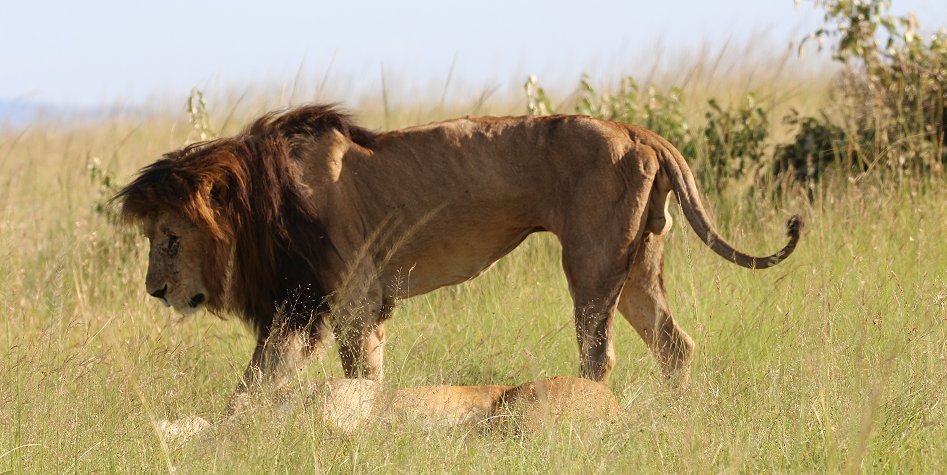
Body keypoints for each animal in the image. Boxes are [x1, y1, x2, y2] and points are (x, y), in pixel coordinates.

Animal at [115, 106, 804, 410]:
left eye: (171, 238)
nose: (153, 291)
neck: (264, 199)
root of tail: (642, 132)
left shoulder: (345, 297)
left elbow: (337, 375)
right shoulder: (316, 303)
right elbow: (267, 379)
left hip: (591, 259)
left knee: (599, 355)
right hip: (637, 263)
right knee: (674, 345)